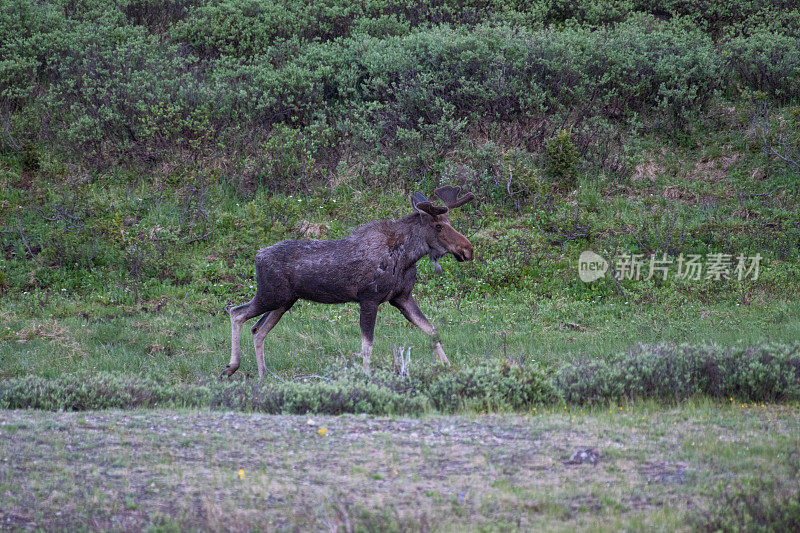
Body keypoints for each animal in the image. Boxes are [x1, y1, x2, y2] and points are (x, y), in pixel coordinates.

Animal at [223, 185, 476, 376]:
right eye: (438, 226)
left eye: (450, 222)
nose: (468, 250)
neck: (406, 257)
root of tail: (258, 256)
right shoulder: (369, 298)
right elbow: (367, 346)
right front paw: (365, 377)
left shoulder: (402, 298)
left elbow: (432, 330)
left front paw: (448, 367)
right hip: (270, 295)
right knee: (237, 312)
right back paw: (232, 367)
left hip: (284, 301)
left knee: (258, 329)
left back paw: (263, 374)